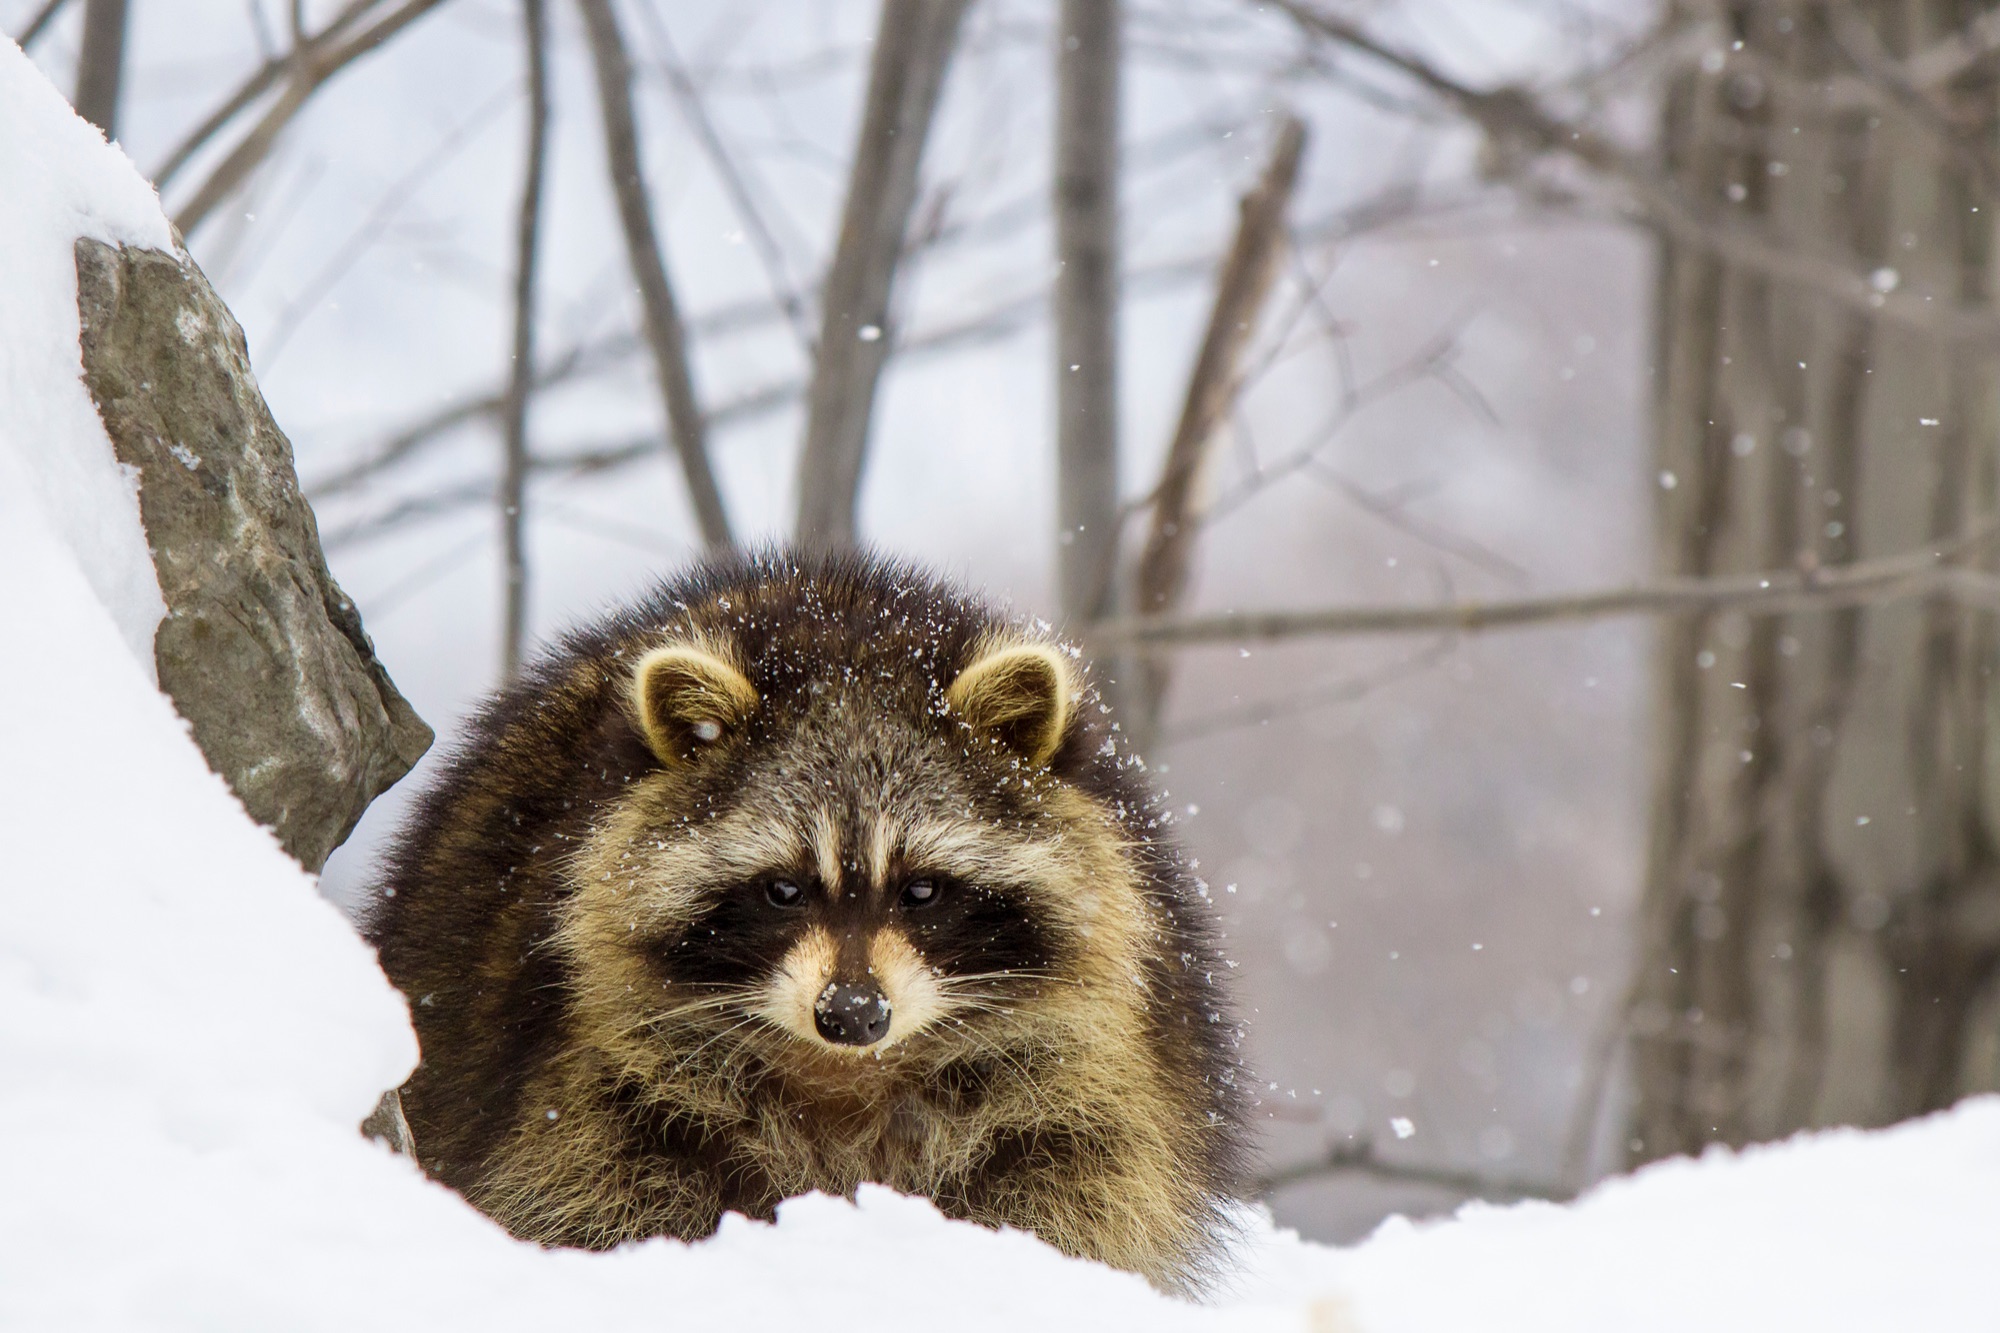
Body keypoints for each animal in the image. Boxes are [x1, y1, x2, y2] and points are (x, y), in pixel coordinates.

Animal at [364, 544, 1248, 1280]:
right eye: (783, 889)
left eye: (921, 889)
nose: (852, 1012)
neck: (847, 1076)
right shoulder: (593, 1080)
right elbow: (600, 1194)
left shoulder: (1088, 1072)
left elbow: (1073, 1188)